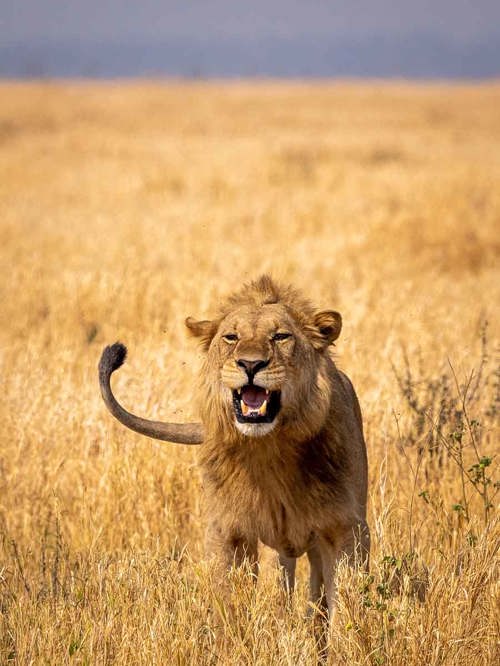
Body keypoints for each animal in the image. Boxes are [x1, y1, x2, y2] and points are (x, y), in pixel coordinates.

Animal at [99, 275, 369, 616]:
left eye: (281, 336)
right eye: (231, 337)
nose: (250, 364)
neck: (269, 449)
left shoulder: (346, 527)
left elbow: (346, 602)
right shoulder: (229, 530)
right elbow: (230, 599)